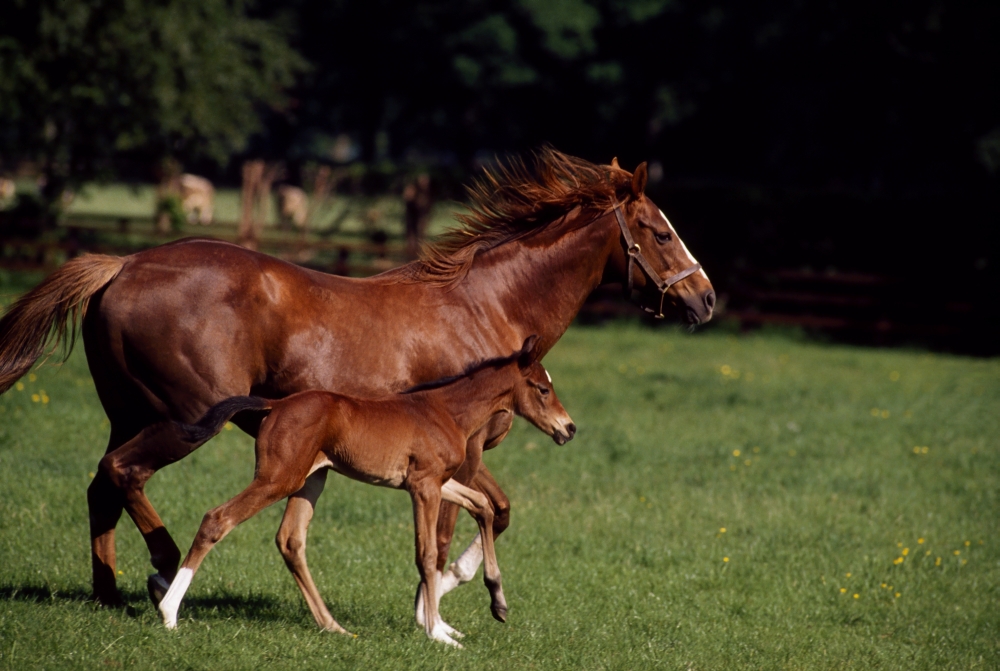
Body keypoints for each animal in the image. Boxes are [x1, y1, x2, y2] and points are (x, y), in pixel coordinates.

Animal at [155, 337, 574, 646]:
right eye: (542, 389)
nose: (568, 429)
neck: (446, 411)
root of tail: (276, 404)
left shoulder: (438, 482)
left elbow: (483, 506)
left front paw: (497, 603)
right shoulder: (423, 486)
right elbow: (426, 553)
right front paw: (437, 633)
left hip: (310, 480)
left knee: (291, 540)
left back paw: (333, 626)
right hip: (278, 479)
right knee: (218, 519)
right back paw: (169, 613)